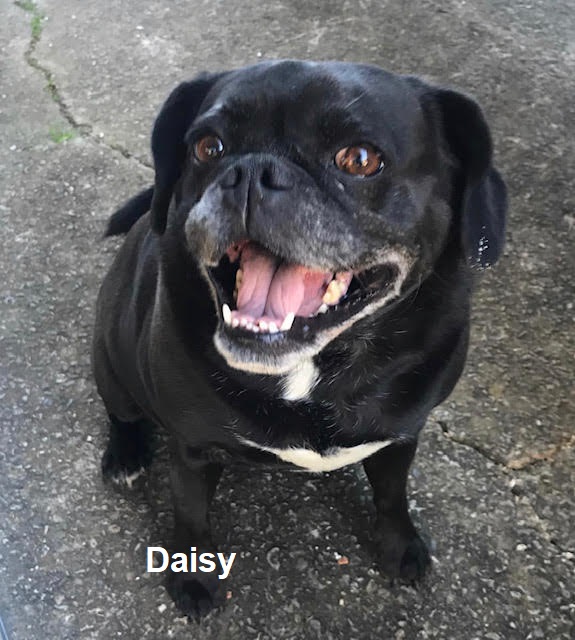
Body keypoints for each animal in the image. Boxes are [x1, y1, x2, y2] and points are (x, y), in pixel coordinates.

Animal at [92, 60, 507, 618]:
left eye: (359, 159)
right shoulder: (192, 449)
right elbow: (192, 515)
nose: (250, 173)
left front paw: (399, 544)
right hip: (111, 361)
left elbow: (392, 495)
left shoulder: (401, 435)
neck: (314, 368)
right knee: (122, 412)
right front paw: (194, 579)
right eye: (207, 147)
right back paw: (126, 457)